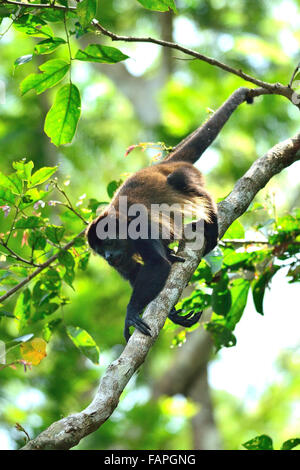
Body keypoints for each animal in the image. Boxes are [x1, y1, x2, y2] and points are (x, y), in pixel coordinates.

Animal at [86, 87, 253, 342]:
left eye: (108, 242)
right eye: (99, 250)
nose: (108, 257)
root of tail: (161, 165)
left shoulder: (139, 228)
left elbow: (157, 265)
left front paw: (131, 314)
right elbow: (136, 272)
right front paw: (173, 313)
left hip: (186, 173)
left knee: (184, 183)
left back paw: (211, 223)